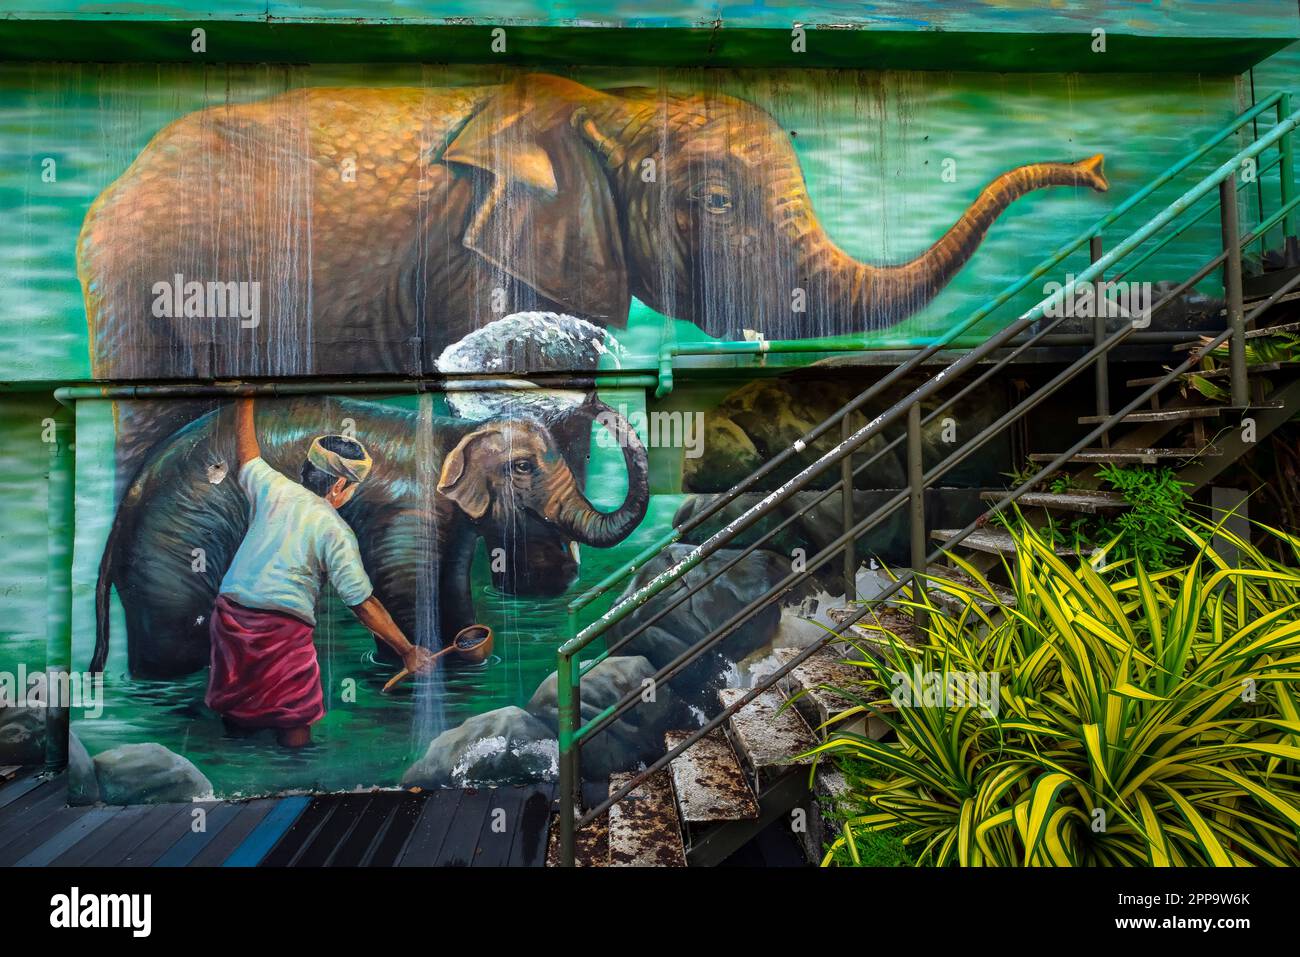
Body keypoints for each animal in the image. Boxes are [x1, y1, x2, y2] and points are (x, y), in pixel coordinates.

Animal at [94, 395, 650, 681]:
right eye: (522, 467)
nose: (598, 402)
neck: (453, 435)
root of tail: (115, 528)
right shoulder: (406, 513)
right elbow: (396, 588)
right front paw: (415, 668)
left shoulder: (447, 522)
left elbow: (450, 585)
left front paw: (468, 655)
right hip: (172, 555)